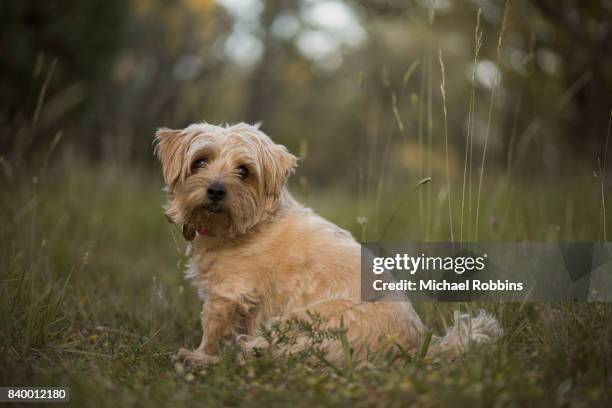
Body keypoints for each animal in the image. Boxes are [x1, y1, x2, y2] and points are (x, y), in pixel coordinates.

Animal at [154, 122, 502, 366]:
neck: (248, 226)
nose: (215, 190)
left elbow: (212, 333)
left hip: (302, 320)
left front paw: (200, 355)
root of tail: (415, 351)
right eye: (199, 162)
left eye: (244, 171)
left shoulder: (227, 295)